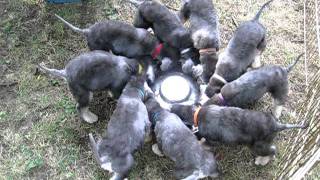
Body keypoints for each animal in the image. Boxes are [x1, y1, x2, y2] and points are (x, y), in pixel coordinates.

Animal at [172, 104, 308, 166]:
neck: (197, 115)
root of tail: (277, 125)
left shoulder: (211, 140)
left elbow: (206, 143)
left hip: (258, 146)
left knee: (273, 150)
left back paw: (261, 161)